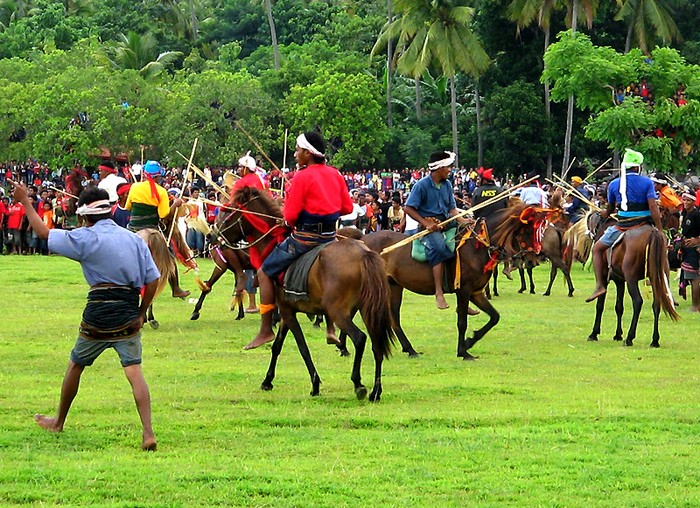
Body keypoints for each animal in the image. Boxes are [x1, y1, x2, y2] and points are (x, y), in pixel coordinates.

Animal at [211, 186, 395, 401]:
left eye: (227, 211)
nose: (211, 236)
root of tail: (364, 253)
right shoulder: (286, 311)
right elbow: (277, 346)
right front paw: (267, 380)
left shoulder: (287, 312)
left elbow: (302, 347)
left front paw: (315, 384)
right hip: (368, 310)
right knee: (377, 344)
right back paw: (376, 391)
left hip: (338, 312)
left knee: (359, 339)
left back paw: (358, 383)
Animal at [359, 202, 553, 360]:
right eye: (526, 230)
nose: (533, 260)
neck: (476, 247)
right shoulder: (464, 291)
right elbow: (462, 322)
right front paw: (463, 351)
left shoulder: (476, 293)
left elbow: (494, 317)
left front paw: (470, 341)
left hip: (394, 286)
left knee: (394, 319)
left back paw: (410, 349)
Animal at [586, 214, 680, 347]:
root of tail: (653, 233)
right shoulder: (620, 281)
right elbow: (619, 307)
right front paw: (618, 334)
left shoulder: (605, 279)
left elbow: (600, 305)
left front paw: (594, 333)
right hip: (656, 278)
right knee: (656, 304)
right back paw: (654, 340)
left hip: (632, 279)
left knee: (638, 301)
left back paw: (630, 337)